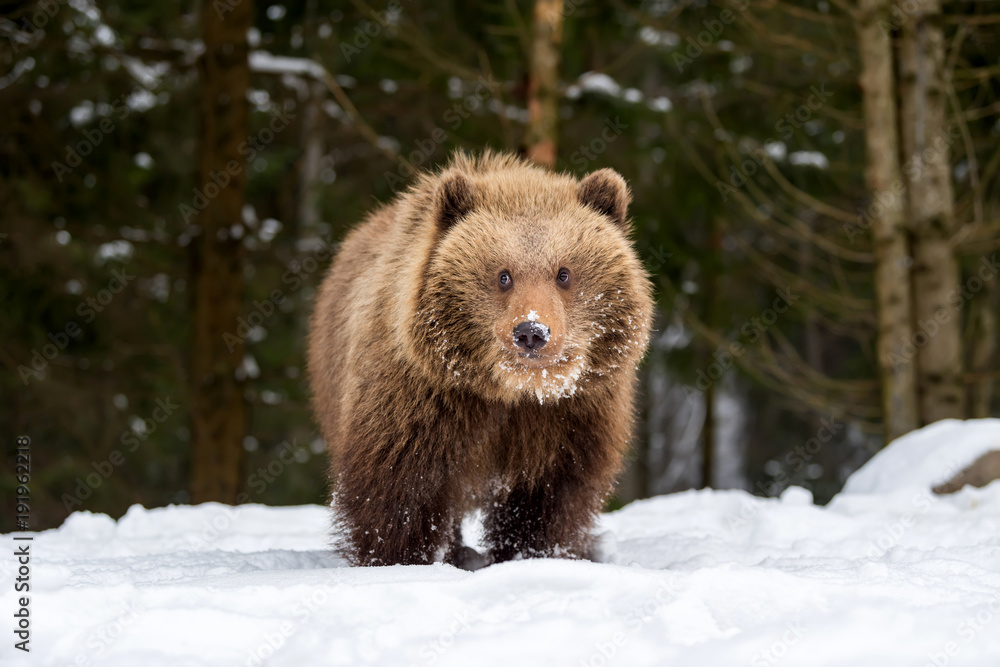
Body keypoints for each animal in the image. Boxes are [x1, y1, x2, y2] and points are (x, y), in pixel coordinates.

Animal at [307, 151, 653, 567]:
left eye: (563, 273)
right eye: (503, 275)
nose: (532, 332)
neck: (511, 393)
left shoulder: (570, 416)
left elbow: (549, 496)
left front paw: (533, 554)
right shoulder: (423, 400)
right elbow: (400, 488)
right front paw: (398, 558)